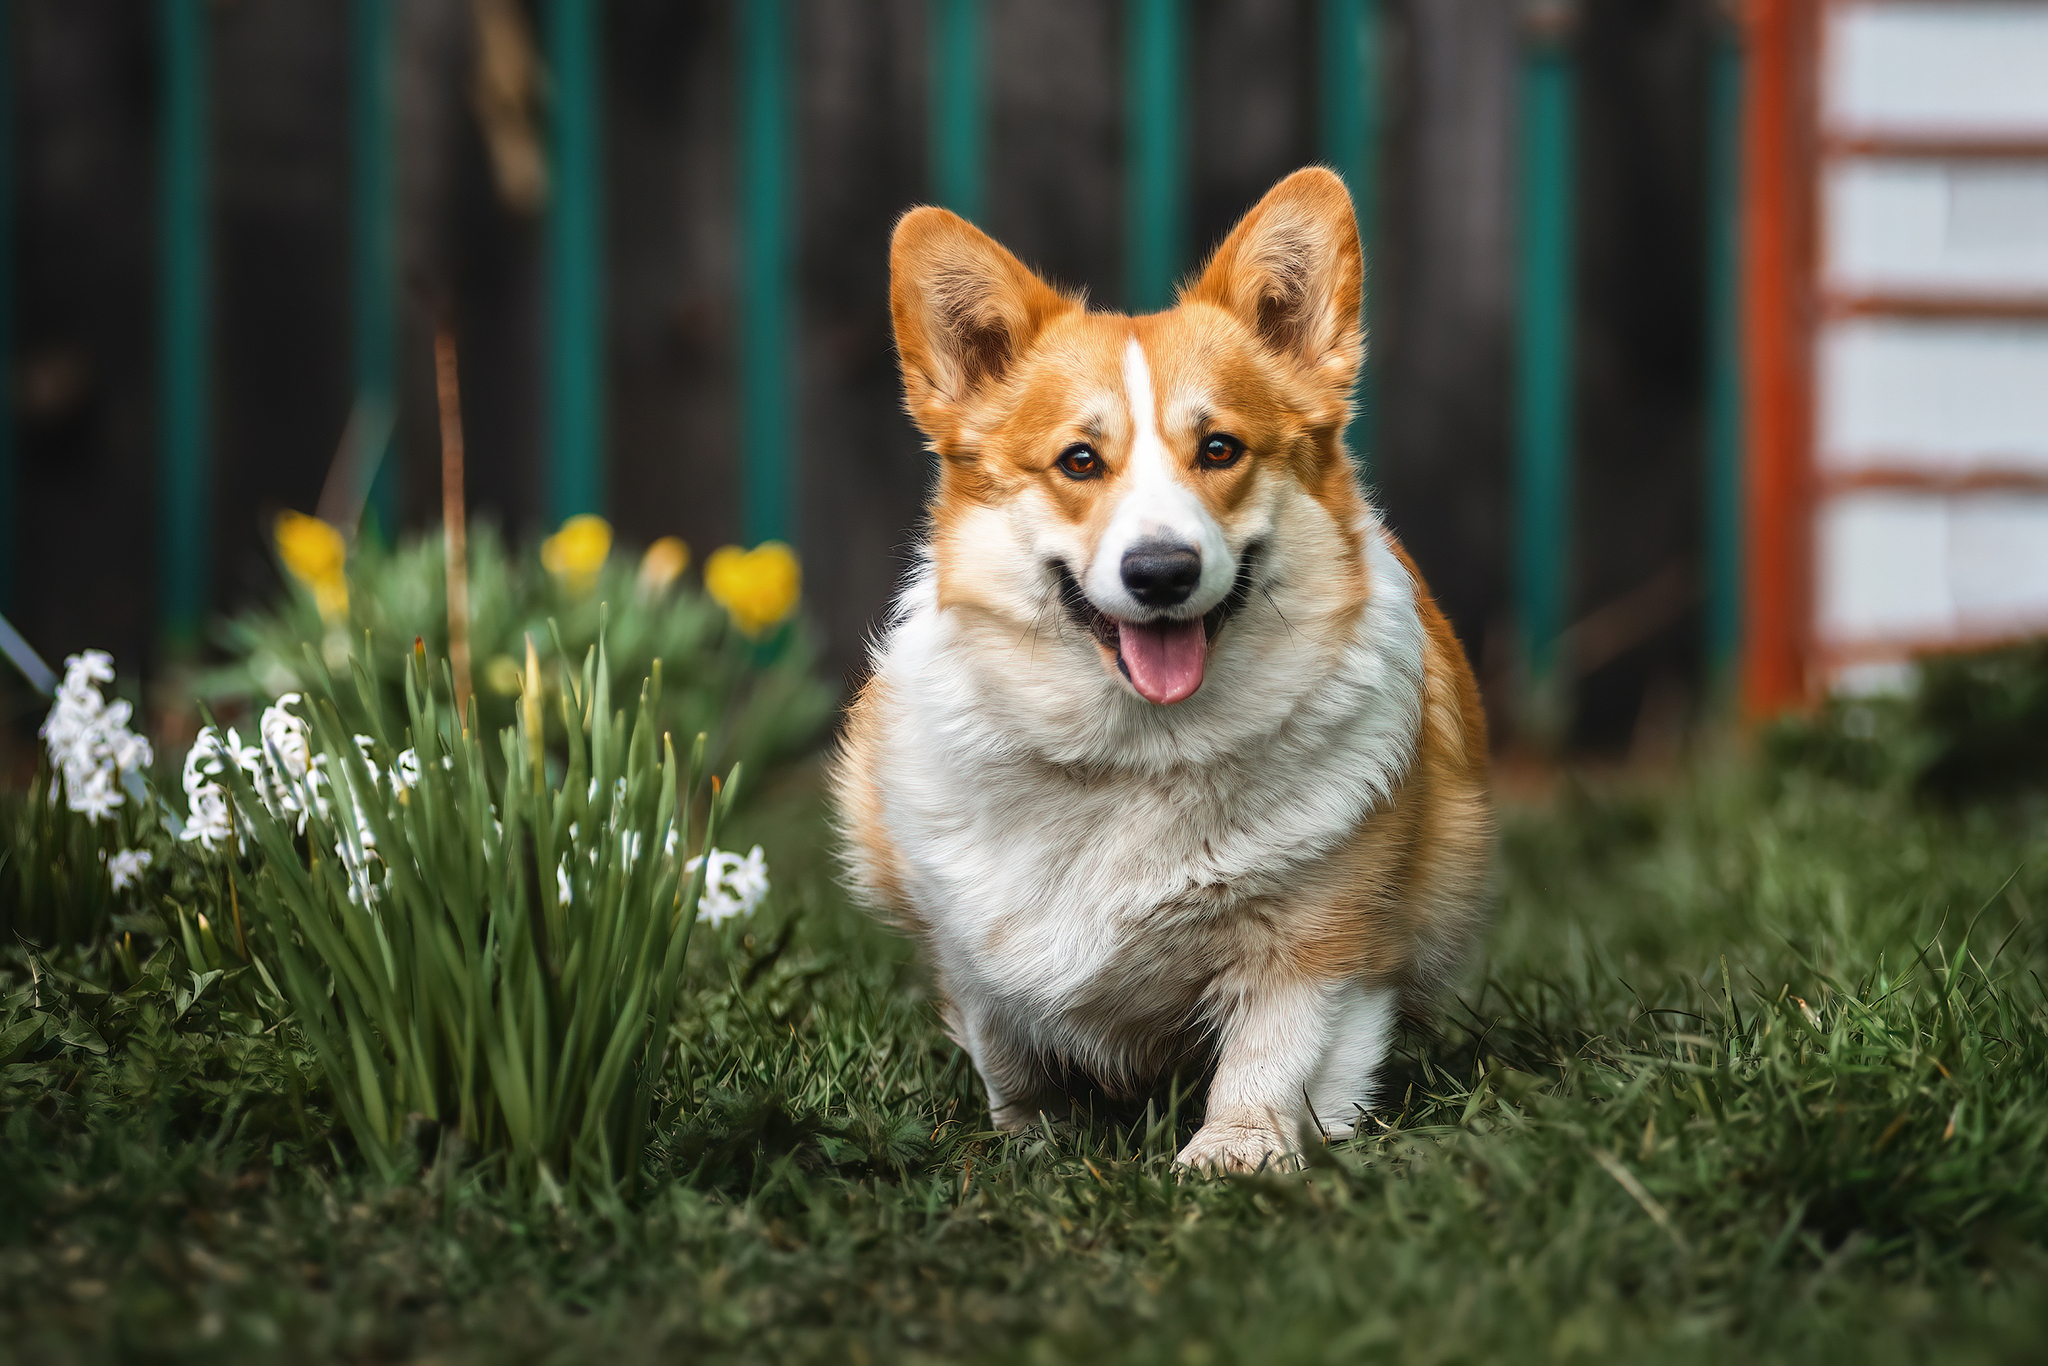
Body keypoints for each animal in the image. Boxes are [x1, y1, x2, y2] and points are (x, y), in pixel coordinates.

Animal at [827, 167, 1490, 1179]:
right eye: (1079, 461)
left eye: (1219, 449)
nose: (1162, 572)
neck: (1138, 751)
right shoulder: (966, 944)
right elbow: (1006, 1048)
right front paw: (1034, 1142)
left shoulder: (1321, 946)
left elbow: (1273, 1058)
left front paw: (1236, 1156)